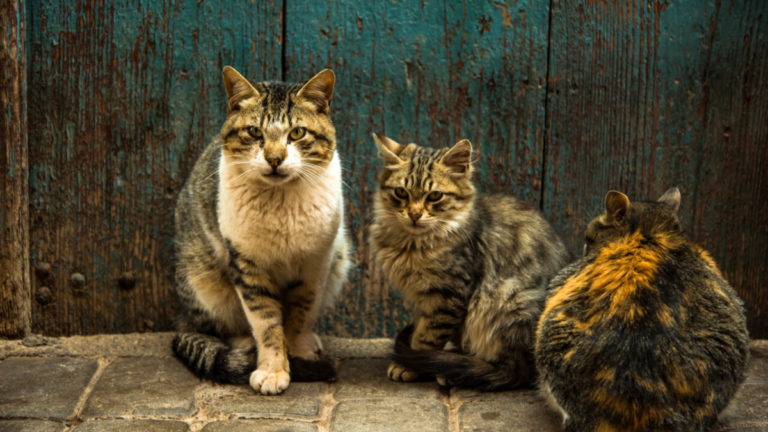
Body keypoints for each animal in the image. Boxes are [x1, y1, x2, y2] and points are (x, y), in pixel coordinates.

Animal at [172, 66, 350, 394]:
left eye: (297, 133)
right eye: (255, 132)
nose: (275, 158)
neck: (281, 204)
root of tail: (181, 315)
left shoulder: (315, 264)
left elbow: (300, 315)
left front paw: (298, 353)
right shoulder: (246, 265)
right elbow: (266, 322)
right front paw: (273, 370)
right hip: (203, 281)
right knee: (219, 327)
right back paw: (244, 345)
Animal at [372, 135, 568, 392]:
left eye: (434, 196)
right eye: (401, 193)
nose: (414, 215)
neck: (412, 244)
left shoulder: (448, 295)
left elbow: (426, 338)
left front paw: (410, 366)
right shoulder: (423, 299)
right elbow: (424, 330)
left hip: (507, 301)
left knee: (512, 373)